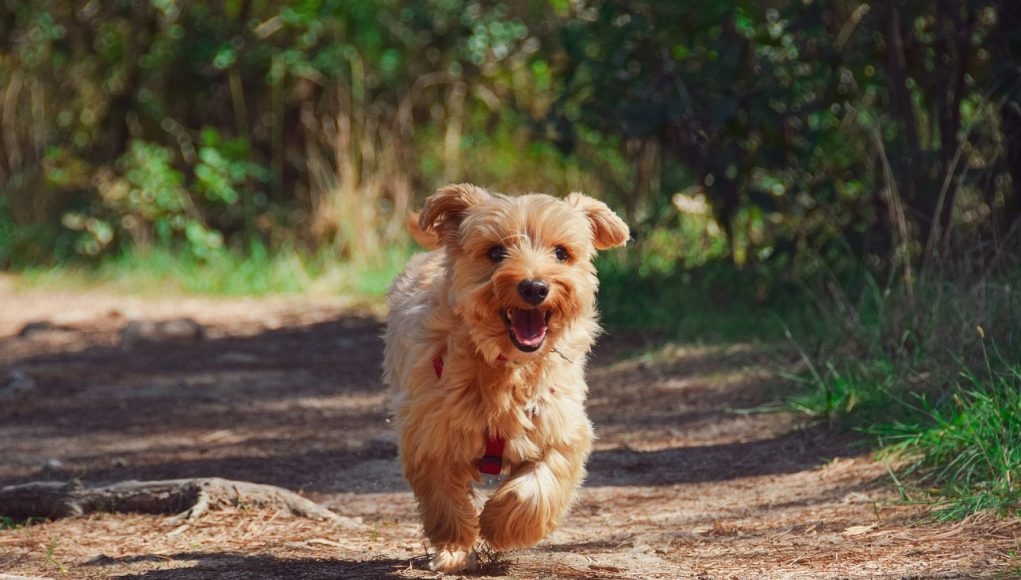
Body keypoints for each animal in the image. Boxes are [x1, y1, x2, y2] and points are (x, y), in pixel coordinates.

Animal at [383, 184, 624, 571]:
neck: (507, 367)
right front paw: (453, 549)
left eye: (561, 252)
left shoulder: (561, 428)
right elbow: (444, 501)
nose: (535, 287)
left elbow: (537, 487)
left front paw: (500, 524)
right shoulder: (431, 435)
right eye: (495, 252)